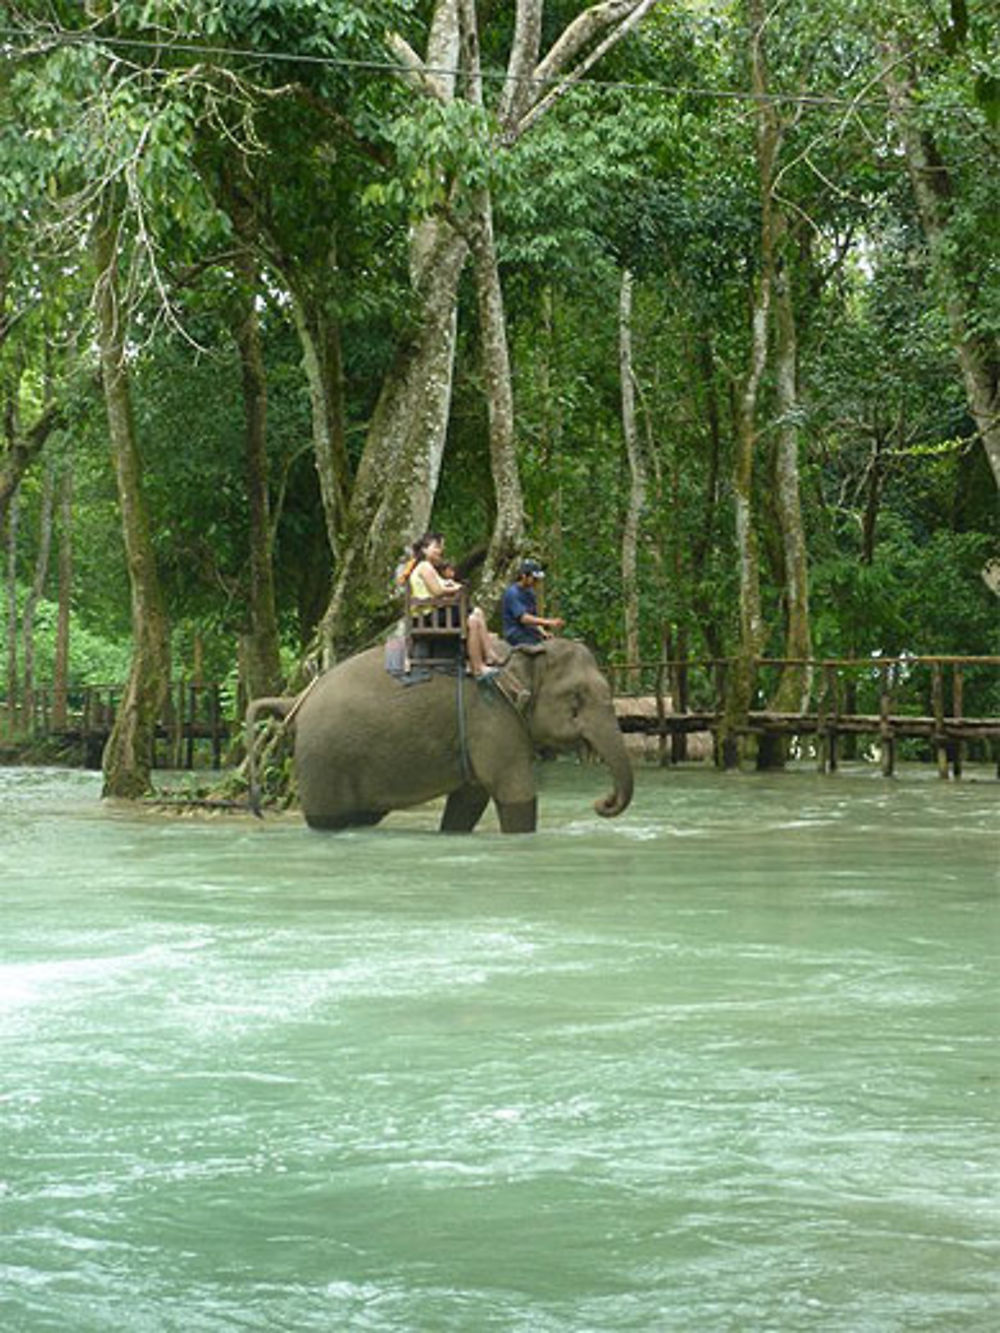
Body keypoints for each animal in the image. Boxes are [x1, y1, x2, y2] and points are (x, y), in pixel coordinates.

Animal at [245, 637, 634, 831]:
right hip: (323, 761)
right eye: (576, 698)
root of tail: (297, 699)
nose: (602, 803)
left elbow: (469, 800)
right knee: (329, 819)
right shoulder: (492, 718)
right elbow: (515, 792)